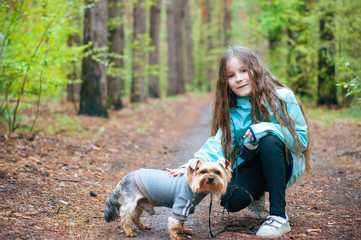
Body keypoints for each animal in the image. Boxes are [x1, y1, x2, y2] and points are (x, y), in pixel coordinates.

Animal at [104, 158, 232, 239]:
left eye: (217, 172)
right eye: (203, 171)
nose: (210, 178)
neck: (194, 185)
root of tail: (123, 179)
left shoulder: (187, 208)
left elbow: (181, 222)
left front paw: (183, 231)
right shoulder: (181, 205)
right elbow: (175, 222)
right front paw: (176, 236)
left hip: (140, 202)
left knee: (135, 216)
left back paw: (142, 226)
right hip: (130, 203)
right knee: (125, 217)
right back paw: (129, 232)